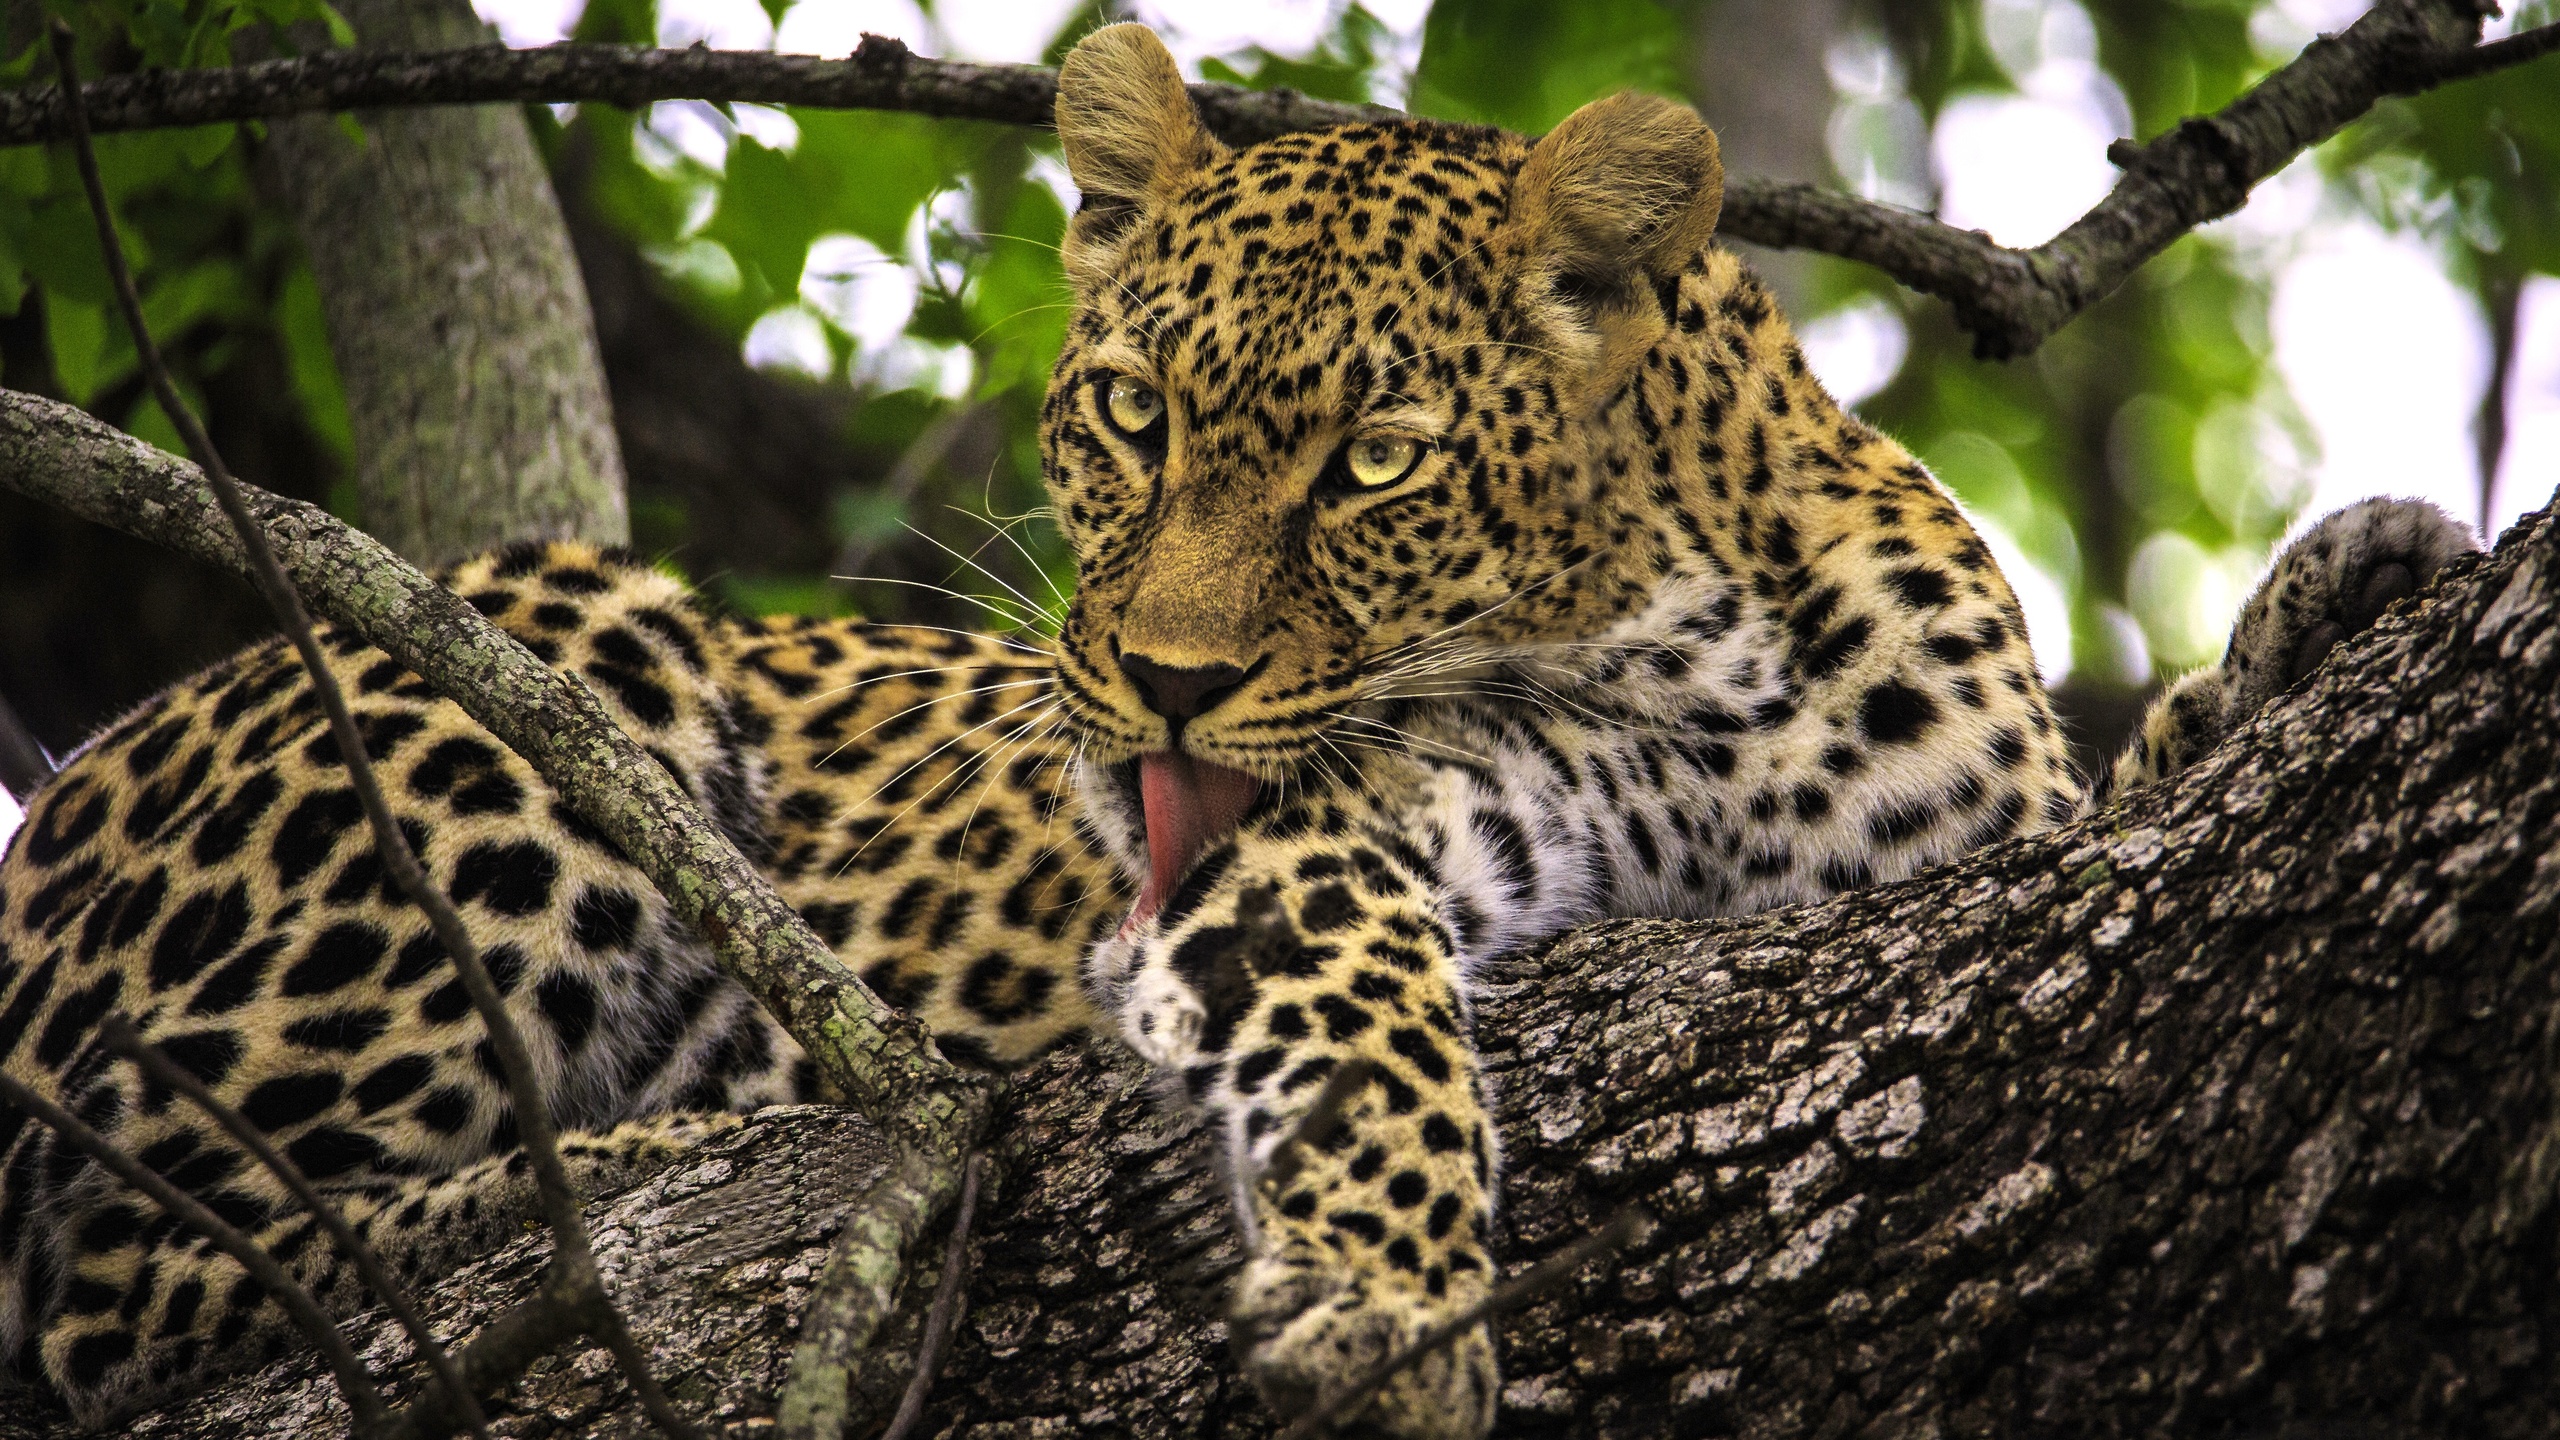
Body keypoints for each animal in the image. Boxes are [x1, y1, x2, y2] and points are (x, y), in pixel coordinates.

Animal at [0, 21, 2480, 1437]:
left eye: (1373, 462)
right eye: (1126, 413)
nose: (1163, 687)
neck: (1708, 682)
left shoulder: (1966, 854)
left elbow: (2118, 794)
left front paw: (2324, 602)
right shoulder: (1317, 842)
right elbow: (1365, 1010)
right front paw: (1386, 1299)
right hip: (535, 650)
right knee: (113, 1262)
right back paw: (627, 1162)